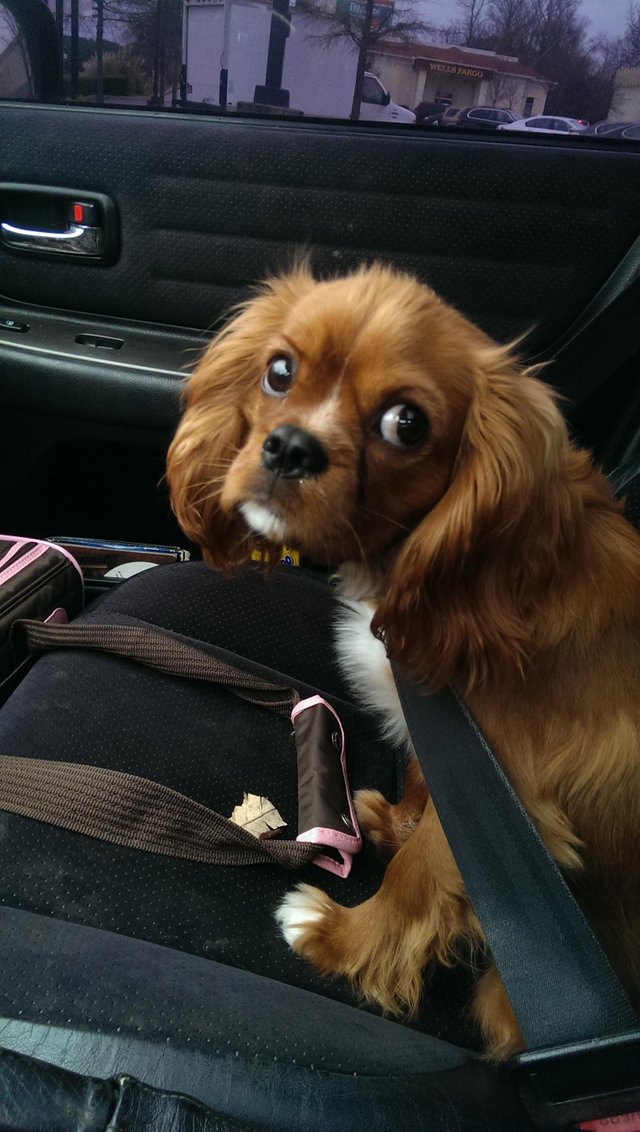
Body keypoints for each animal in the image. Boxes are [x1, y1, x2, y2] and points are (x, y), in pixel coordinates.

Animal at [166, 264, 638, 1059]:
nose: (290, 447)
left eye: (405, 424)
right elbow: (422, 776)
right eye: (279, 372)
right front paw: (393, 822)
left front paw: (341, 937)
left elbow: (418, 882)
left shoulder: (513, 795)